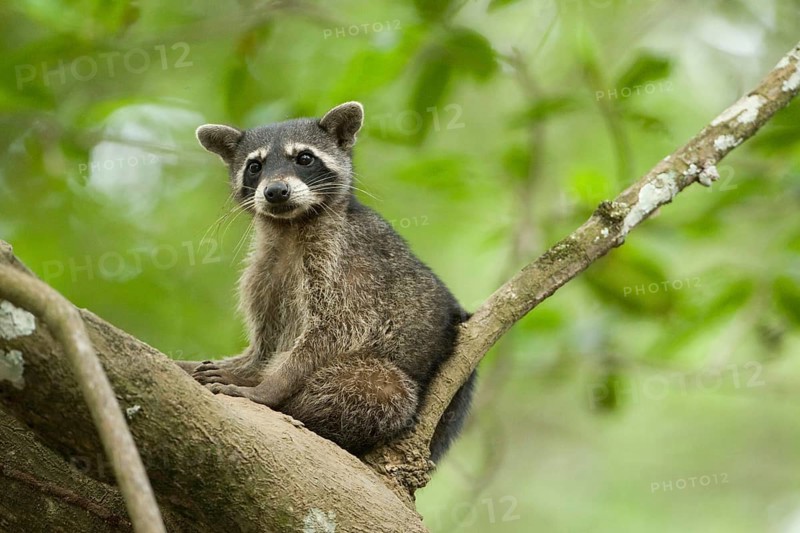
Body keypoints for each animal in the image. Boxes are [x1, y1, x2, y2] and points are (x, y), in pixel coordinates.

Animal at [179, 102, 476, 462]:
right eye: (255, 166)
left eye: (304, 158)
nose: (275, 191)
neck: (289, 228)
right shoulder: (264, 273)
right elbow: (268, 340)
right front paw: (246, 370)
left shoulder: (347, 263)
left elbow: (333, 331)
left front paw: (267, 387)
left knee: (382, 386)